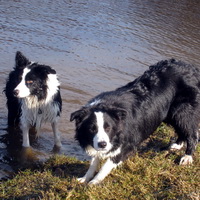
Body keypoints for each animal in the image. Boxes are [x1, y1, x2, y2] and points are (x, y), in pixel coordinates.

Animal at [71, 59, 199, 184]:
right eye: (92, 129)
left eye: (108, 128)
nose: (103, 144)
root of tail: (192, 68)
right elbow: (94, 161)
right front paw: (85, 178)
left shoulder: (126, 142)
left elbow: (107, 164)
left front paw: (94, 182)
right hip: (170, 113)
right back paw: (177, 145)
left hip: (183, 110)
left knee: (191, 131)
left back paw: (187, 156)